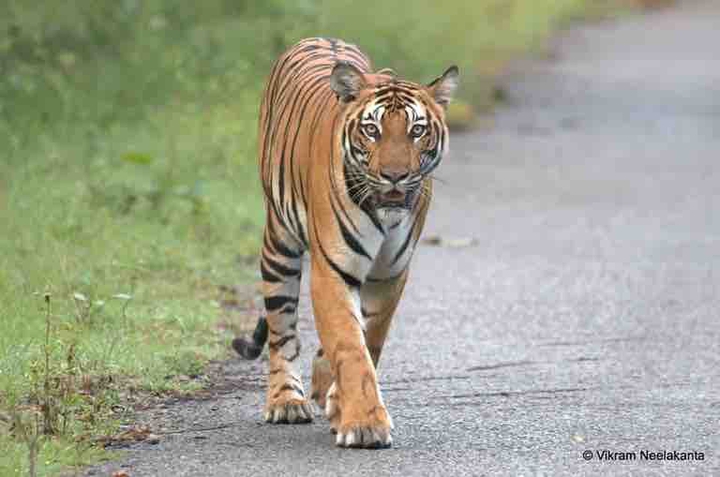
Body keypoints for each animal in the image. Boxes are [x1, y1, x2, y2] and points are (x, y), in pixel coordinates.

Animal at [232, 37, 458, 449]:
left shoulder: (389, 274)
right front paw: (365, 425)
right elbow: (350, 346)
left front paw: (341, 404)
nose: (394, 176)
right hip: (279, 246)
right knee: (282, 332)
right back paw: (286, 401)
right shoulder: (333, 270)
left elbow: (370, 338)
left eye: (417, 131)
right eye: (372, 129)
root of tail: (319, 38)